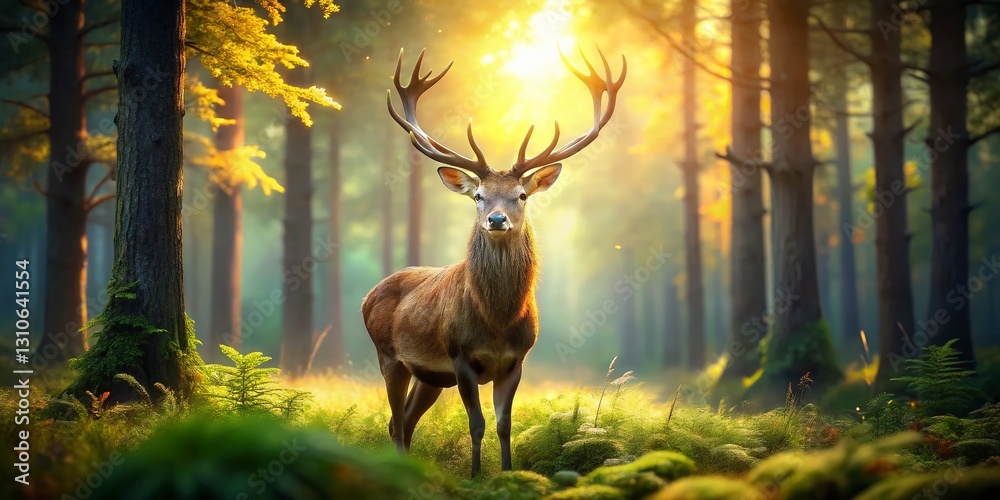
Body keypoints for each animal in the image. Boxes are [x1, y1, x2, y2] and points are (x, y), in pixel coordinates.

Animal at [362, 47, 625, 477]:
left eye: (522, 195)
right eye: (478, 196)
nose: (497, 219)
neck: (498, 322)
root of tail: (367, 297)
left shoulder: (516, 361)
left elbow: (504, 424)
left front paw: (508, 473)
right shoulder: (460, 356)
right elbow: (477, 423)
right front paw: (474, 475)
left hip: (430, 376)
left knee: (404, 420)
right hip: (389, 355)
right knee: (396, 422)